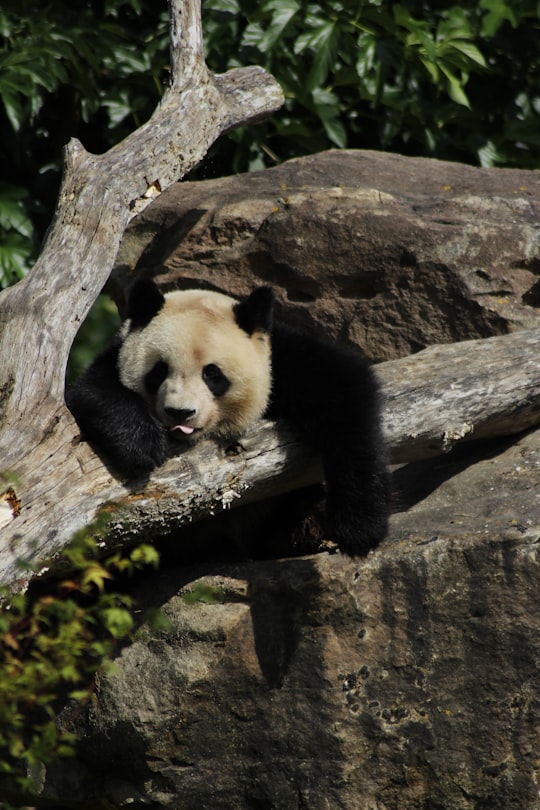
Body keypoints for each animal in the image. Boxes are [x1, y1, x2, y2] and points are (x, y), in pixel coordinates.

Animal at [66, 278, 388, 556]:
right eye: (159, 371)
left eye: (212, 373)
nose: (180, 412)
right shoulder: (111, 358)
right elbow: (90, 392)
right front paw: (141, 444)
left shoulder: (279, 361)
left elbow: (343, 390)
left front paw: (359, 529)